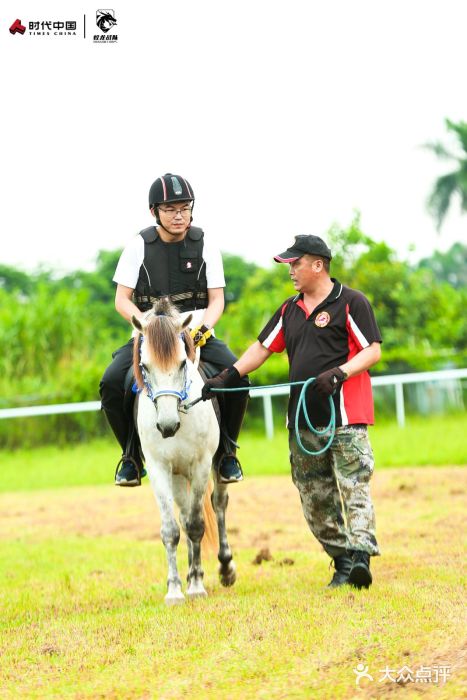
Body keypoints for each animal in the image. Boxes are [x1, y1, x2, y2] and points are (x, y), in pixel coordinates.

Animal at [133, 298, 238, 604]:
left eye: (182, 364)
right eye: (145, 366)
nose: (167, 426)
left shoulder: (201, 464)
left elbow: (196, 525)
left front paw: (196, 587)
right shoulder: (158, 467)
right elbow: (171, 529)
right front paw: (175, 589)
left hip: (214, 465)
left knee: (218, 504)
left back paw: (225, 569)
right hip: (177, 475)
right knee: (183, 513)